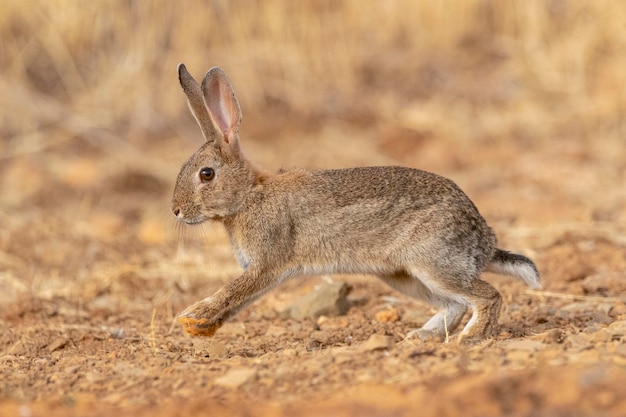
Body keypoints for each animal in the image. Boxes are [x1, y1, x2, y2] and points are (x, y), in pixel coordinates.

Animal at [169, 64, 536, 344]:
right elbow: (237, 302)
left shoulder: (266, 264)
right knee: (455, 305)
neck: (248, 196)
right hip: (404, 276)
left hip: (433, 263)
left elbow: (231, 292)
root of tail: (484, 241)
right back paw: (421, 336)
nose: (176, 210)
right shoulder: (263, 273)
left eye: (206, 174)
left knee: (488, 296)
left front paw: (193, 314)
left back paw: (469, 338)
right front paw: (199, 328)